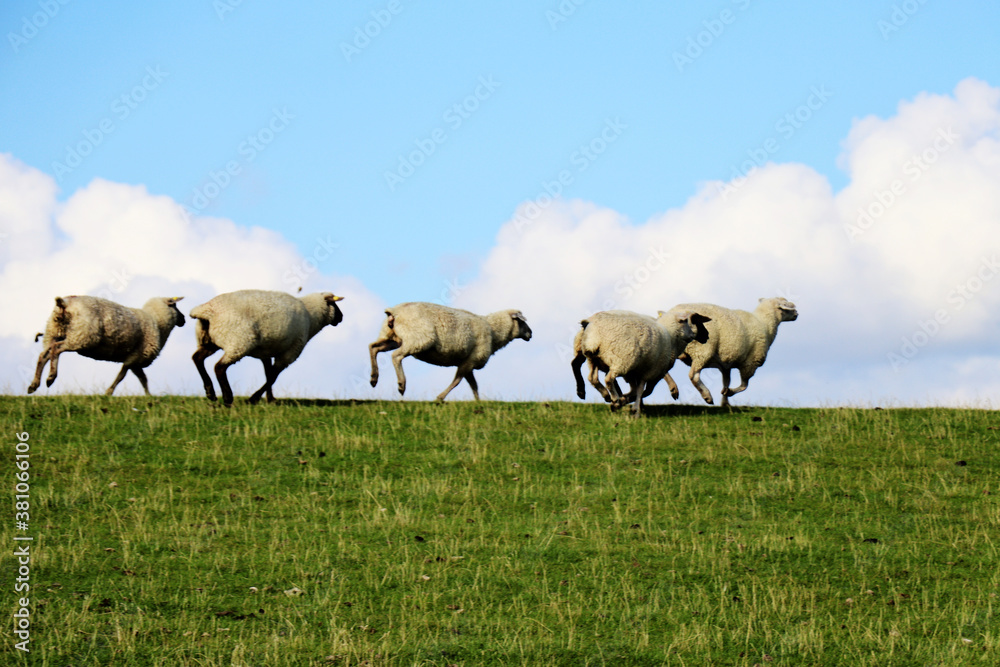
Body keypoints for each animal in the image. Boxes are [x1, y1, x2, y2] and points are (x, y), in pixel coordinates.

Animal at [27, 295, 186, 396]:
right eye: (175, 305)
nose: (183, 319)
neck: (157, 322)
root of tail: (64, 303)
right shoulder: (135, 357)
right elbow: (122, 376)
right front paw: (109, 392)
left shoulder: (135, 360)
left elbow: (143, 379)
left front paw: (148, 396)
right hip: (81, 336)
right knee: (56, 349)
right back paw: (51, 377)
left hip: (54, 332)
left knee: (44, 355)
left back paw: (34, 384)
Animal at [190, 290, 345, 406]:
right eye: (334, 304)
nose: (341, 317)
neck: (311, 316)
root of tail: (206, 310)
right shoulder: (290, 353)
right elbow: (272, 377)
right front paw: (254, 398)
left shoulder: (267, 352)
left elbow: (268, 373)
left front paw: (269, 399)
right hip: (239, 341)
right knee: (219, 367)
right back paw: (228, 398)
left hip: (209, 341)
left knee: (197, 358)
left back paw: (210, 392)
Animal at [368, 302, 532, 403]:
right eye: (522, 321)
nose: (531, 334)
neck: (493, 331)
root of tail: (394, 311)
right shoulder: (470, 360)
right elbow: (457, 381)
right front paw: (440, 397)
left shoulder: (469, 361)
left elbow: (474, 385)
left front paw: (478, 402)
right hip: (418, 340)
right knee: (396, 356)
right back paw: (401, 384)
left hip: (391, 337)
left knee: (373, 347)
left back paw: (373, 378)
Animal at [570, 309, 710, 417]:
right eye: (692, 321)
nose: (707, 336)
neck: (671, 338)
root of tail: (591, 326)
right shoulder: (652, 372)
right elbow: (643, 390)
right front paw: (633, 409)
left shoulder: (634, 372)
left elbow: (635, 389)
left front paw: (626, 401)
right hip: (621, 360)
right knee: (608, 379)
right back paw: (614, 398)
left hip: (594, 359)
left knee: (592, 378)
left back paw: (606, 395)